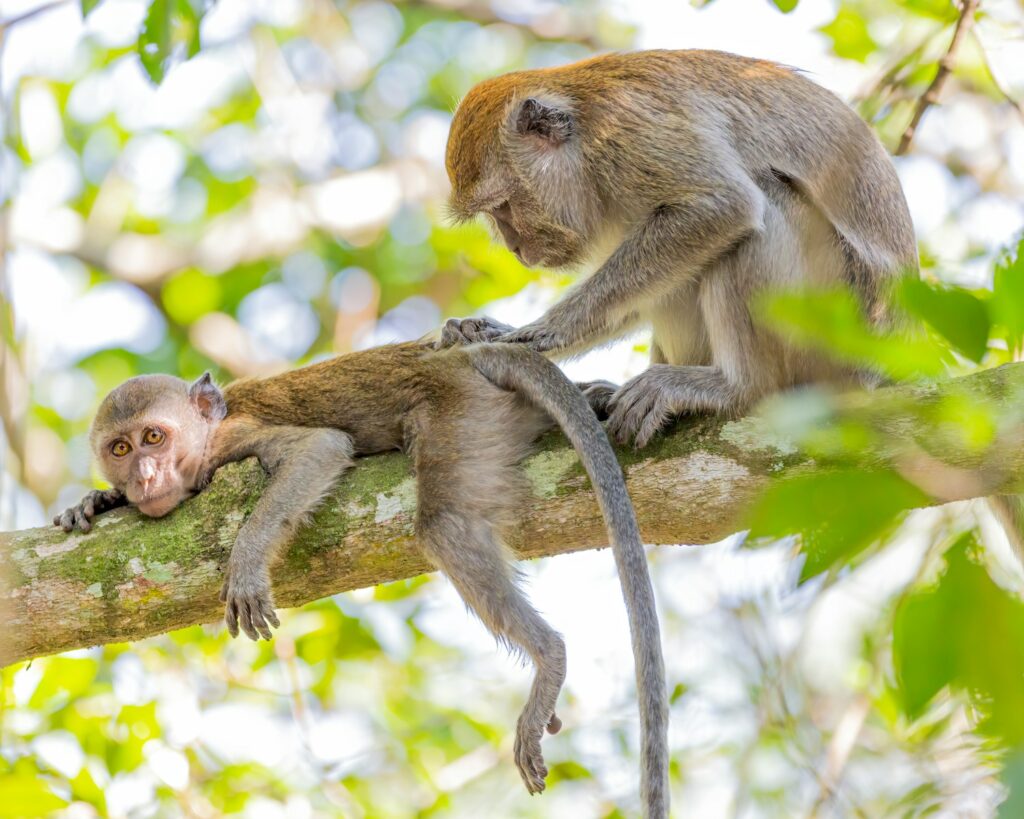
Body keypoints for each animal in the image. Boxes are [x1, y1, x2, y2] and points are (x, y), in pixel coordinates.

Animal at [54, 341, 670, 817]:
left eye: (154, 438)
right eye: (120, 448)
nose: (143, 476)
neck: (207, 433)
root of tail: (459, 356)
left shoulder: (233, 442)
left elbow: (318, 449)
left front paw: (247, 560)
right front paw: (95, 501)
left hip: (460, 408)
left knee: (445, 524)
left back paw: (548, 656)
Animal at [438, 49, 918, 444]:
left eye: (504, 206)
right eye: (494, 215)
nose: (515, 247)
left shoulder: (628, 132)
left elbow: (722, 205)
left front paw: (546, 331)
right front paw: (490, 330)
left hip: (836, 323)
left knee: (763, 203)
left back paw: (739, 387)